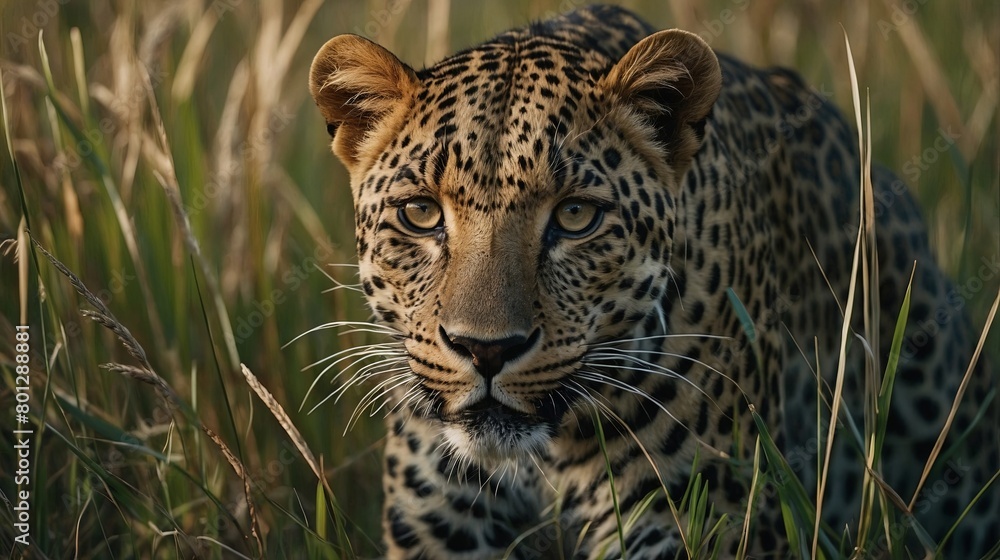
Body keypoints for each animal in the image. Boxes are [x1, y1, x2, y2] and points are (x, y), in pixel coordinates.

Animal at [308, 5, 998, 558]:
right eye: (420, 213)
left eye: (575, 216)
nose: (486, 349)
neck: (542, 457)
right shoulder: (441, 526)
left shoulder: (688, 523)